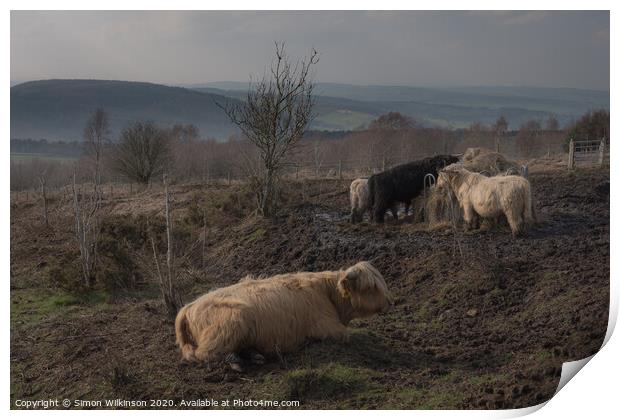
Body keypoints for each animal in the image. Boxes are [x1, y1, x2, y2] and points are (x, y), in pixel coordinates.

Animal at [174, 260, 392, 366]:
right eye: (370, 287)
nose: (390, 302)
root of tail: (189, 306)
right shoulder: (327, 327)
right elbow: (346, 335)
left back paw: (255, 356)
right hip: (234, 320)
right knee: (205, 353)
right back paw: (235, 361)